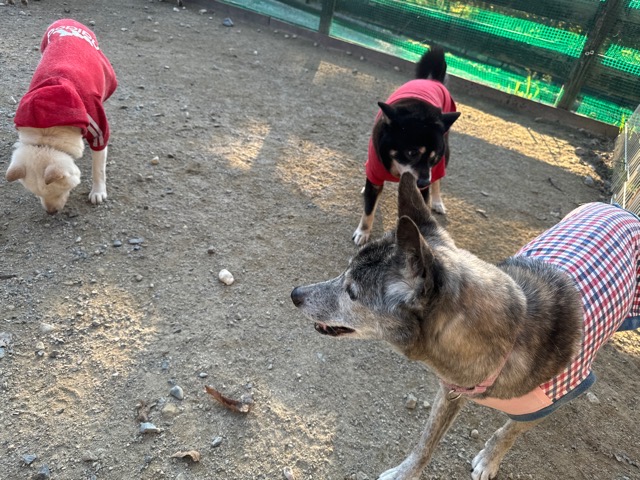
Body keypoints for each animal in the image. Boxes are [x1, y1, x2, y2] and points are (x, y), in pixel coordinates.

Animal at [5, 19, 118, 214]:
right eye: (36, 194)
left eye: (59, 191)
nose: (51, 213)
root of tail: (67, 20)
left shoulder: (98, 130)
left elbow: (98, 169)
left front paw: (98, 191)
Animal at [293, 173, 640, 479]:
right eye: (344, 271)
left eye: (352, 292)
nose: (295, 294)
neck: (509, 339)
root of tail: (621, 208)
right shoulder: (450, 390)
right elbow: (426, 443)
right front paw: (405, 473)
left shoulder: (548, 403)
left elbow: (509, 431)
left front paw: (489, 460)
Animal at [353, 46, 460, 246]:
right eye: (412, 153)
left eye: (433, 158)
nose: (424, 182)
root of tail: (432, 80)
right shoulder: (374, 171)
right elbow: (369, 209)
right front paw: (363, 231)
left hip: (446, 153)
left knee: (438, 180)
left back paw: (437, 201)